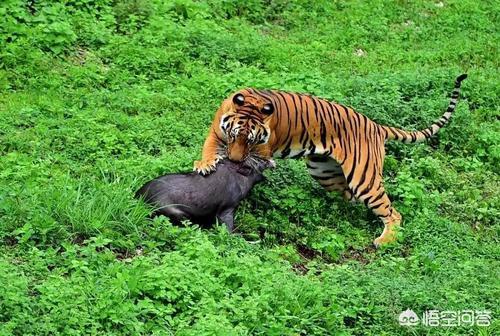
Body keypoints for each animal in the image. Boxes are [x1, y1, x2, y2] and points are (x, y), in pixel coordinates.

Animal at [193, 75, 466, 245]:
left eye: (251, 140)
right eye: (233, 135)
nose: (234, 159)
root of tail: (376, 126)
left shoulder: (262, 151)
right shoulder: (216, 132)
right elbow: (209, 149)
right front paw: (205, 164)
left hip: (364, 179)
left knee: (392, 212)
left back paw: (384, 240)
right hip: (324, 171)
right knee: (347, 198)